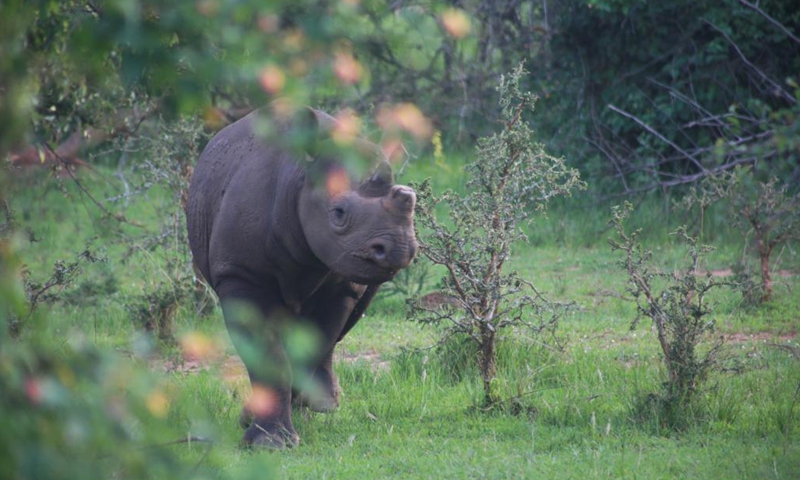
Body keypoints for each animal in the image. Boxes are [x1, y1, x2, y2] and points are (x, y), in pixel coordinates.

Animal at [186, 106, 417, 448]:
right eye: (338, 213)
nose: (398, 248)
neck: (298, 180)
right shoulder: (240, 274)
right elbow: (268, 354)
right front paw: (268, 442)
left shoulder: (344, 282)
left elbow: (313, 344)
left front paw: (287, 421)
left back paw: (321, 405)